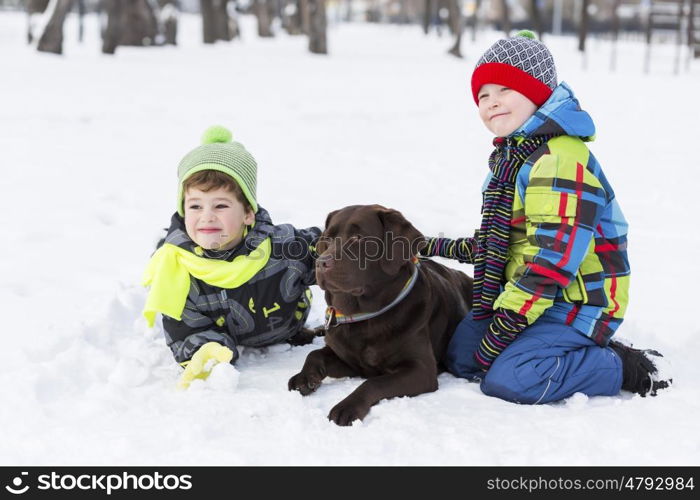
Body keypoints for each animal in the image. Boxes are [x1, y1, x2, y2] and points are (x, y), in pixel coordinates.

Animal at [288, 203, 474, 426]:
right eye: (329, 238)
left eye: (358, 238)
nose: (322, 263)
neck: (365, 317)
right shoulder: (350, 361)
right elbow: (314, 354)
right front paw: (304, 378)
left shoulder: (421, 369)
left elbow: (374, 383)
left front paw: (346, 407)